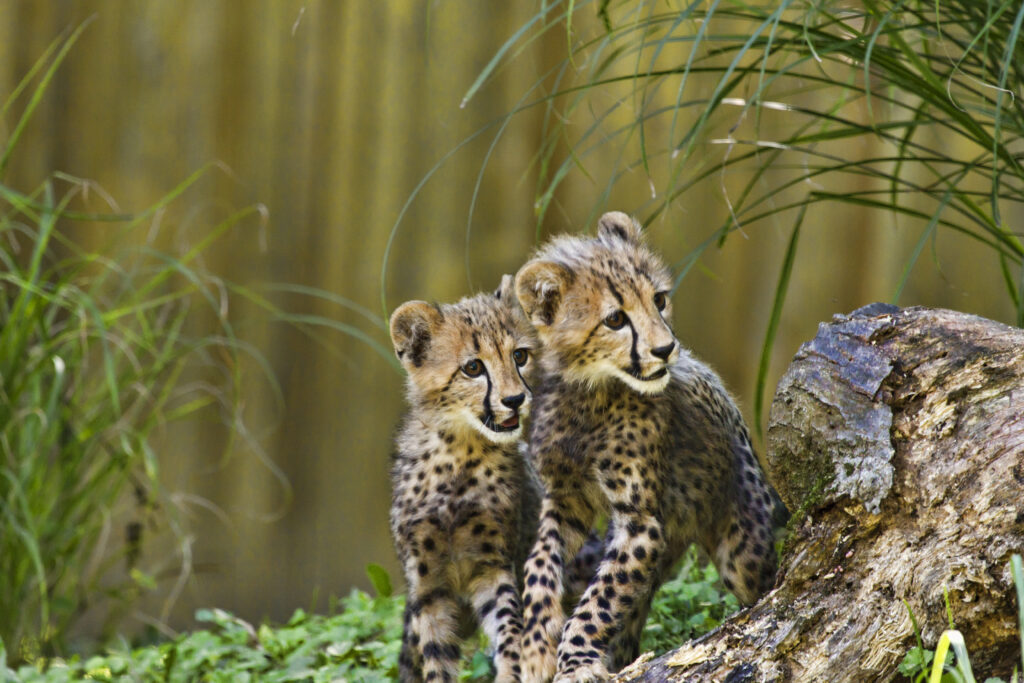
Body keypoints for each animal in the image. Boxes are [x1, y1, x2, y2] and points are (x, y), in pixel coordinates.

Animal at [388, 276, 539, 682]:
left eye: (520, 356)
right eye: (473, 367)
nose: (515, 399)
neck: (461, 455)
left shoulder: (492, 565)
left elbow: (509, 626)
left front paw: (511, 672)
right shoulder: (428, 584)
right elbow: (435, 653)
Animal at [513, 212, 788, 682]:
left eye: (659, 299)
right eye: (615, 320)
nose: (665, 348)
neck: (590, 391)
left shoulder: (641, 523)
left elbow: (598, 602)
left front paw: (576, 662)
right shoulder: (565, 499)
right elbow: (538, 566)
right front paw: (535, 645)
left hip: (743, 548)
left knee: (758, 581)